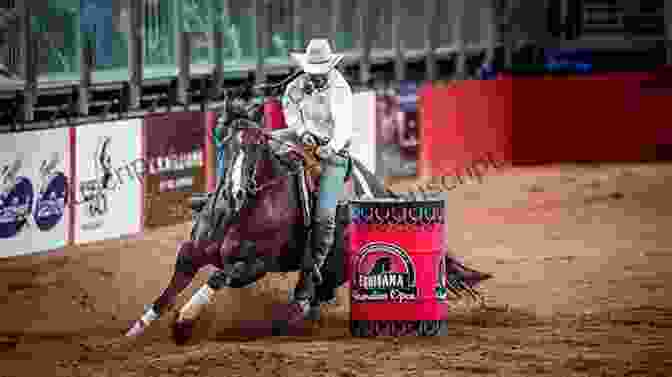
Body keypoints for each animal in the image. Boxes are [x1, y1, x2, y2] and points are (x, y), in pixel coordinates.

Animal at [126, 89, 490, 342]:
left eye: (256, 146)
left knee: (313, 287)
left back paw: (284, 320)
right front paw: (133, 334)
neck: (239, 212)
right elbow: (169, 290)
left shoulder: (254, 265)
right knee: (315, 292)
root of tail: (381, 192)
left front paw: (184, 322)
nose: (236, 192)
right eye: (225, 141)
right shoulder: (192, 252)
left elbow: (217, 277)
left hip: (334, 259)